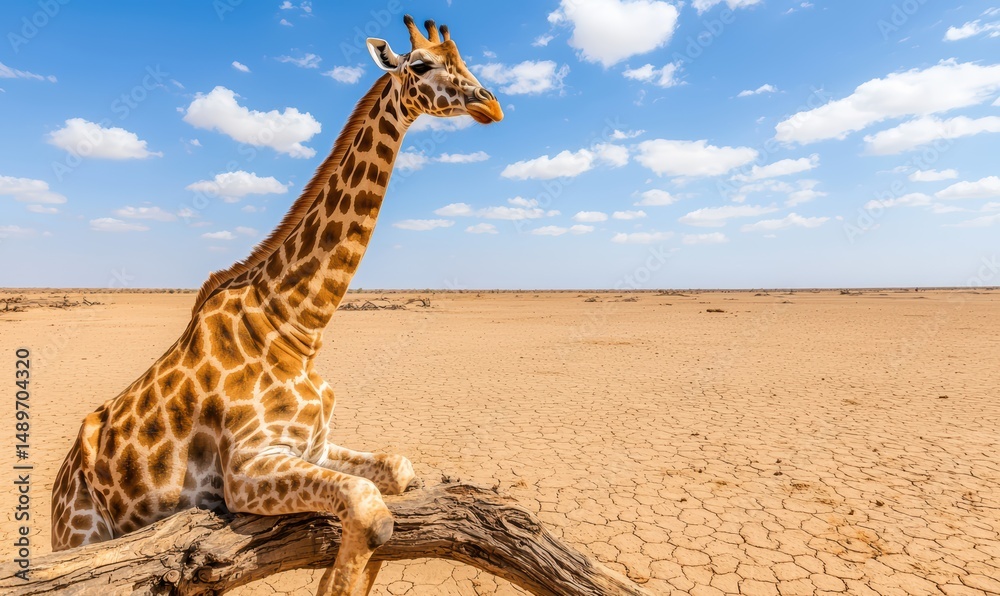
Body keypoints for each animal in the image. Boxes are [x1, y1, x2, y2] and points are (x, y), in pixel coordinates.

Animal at [50, 15, 502, 595]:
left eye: (464, 60)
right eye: (421, 65)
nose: (491, 105)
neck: (295, 326)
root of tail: (57, 492)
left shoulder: (313, 446)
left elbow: (398, 476)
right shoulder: (246, 467)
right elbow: (371, 514)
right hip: (81, 539)